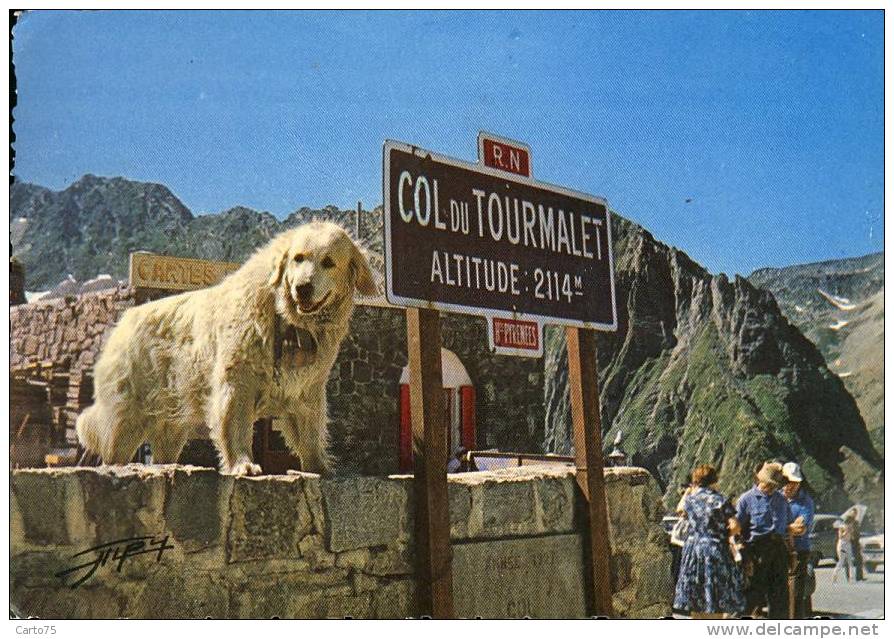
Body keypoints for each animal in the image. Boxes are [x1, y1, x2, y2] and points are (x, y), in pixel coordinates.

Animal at [76, 221, 378, 476]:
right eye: (298, 258)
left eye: (328, 262)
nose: (303, 288)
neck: (287, 319)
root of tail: (124, 320)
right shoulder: (237, 380)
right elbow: (236, 424)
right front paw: (242, 465)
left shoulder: (308, 387)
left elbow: (310, 430)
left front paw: (320, 466)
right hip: (128, 414)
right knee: (114, 445)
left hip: (172, 421)